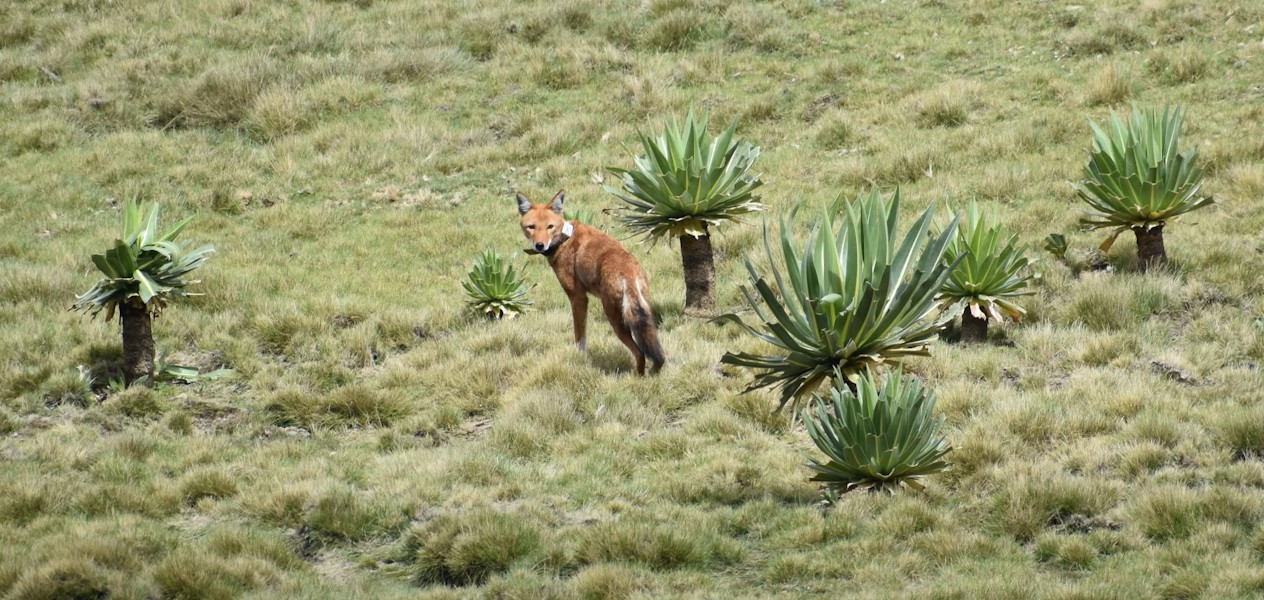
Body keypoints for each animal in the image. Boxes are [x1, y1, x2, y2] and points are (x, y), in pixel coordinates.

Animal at [517, 190, 665, 375]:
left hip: (615, 320)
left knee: (640, 353)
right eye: (531, 227)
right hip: (642, 318)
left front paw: (579, 359)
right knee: (659, 356)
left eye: (549, 227)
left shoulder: (578, 298)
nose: (539, 245)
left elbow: (580, 337)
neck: (565, 238)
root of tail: (628, 271)